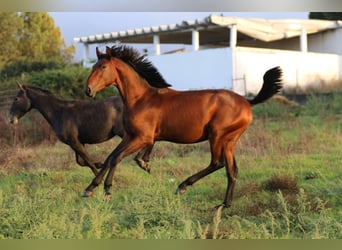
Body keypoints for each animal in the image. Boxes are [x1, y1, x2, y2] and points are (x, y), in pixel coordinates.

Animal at [8, 82, 153, 176]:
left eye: (16, 98)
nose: (11, 119)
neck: (59, 113)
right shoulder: (78, 142)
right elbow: (82, 162)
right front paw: (100, 164)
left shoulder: (74, 142)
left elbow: (87, 162)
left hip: (125, 132)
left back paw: (142, 162)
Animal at [84, 45, 282, 209]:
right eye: (93, 66)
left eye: (102, 67)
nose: (88, 90)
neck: (141, 99)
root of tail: (247, 102)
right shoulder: (130, 136)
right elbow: (110, 157)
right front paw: (90, 188)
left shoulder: (142, 138)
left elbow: (117, 158)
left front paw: (107, 190)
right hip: (229, 141)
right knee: (231, 170)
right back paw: (224, 204)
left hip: (216, 135)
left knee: (217, 163)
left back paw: (183, 186)